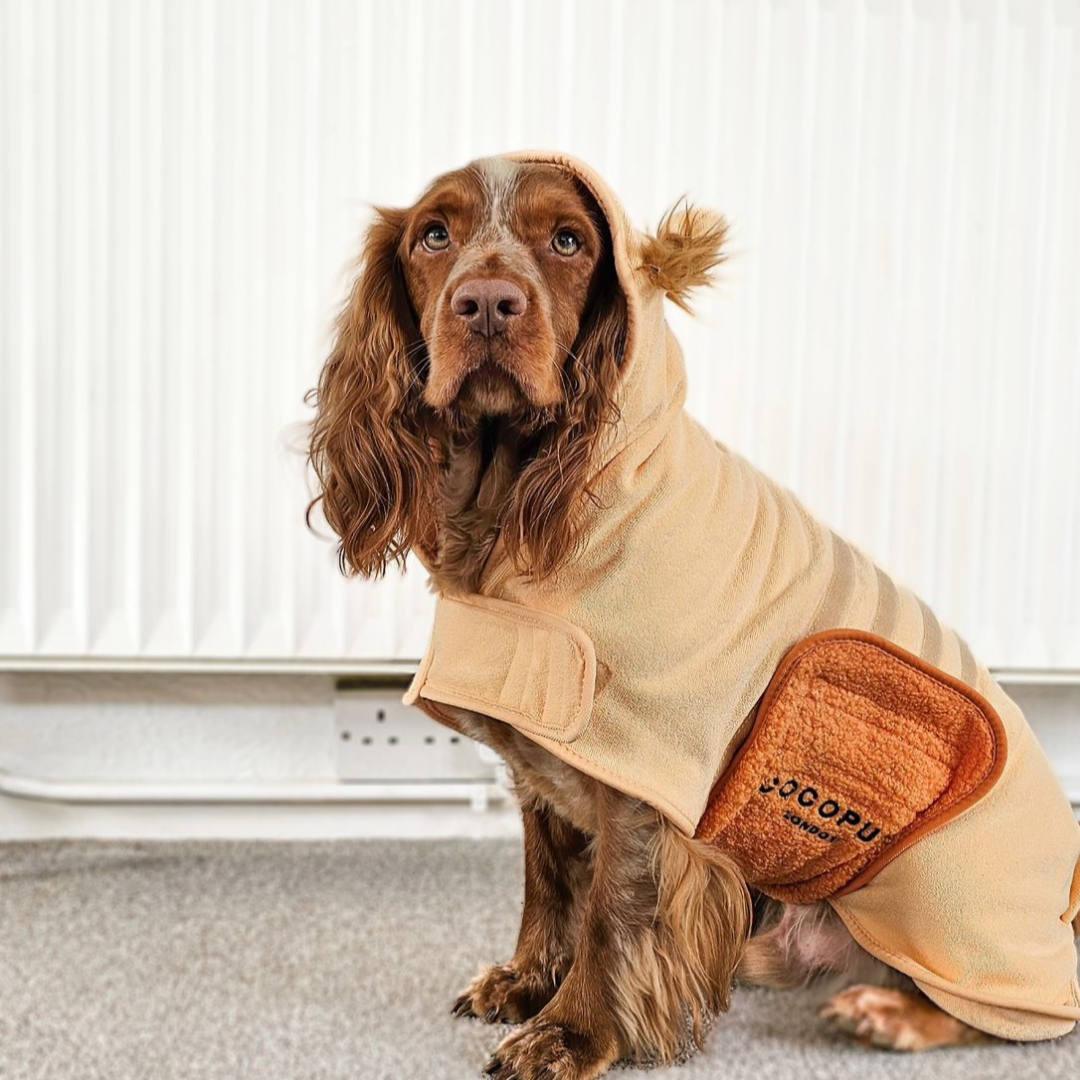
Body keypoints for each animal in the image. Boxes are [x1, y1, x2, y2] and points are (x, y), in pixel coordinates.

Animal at [306, 154, 1080, 1080]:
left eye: (567, 240)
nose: (488, 303)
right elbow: (548, 879)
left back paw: (891, 1013)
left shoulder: (648, 775)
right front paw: (527, 981)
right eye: (433, 234)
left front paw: (572, 1033)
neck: (528, 505)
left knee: (1017, 1010)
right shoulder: (546, 757)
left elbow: (614, 912)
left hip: (940, 897)